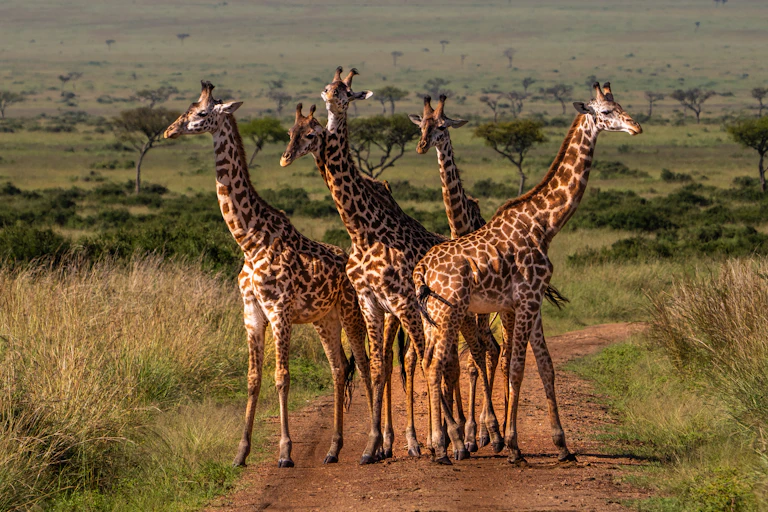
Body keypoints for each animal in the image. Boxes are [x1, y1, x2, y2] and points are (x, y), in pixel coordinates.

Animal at [164, 81, 373, 468]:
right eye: (187, 109)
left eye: (202, 113)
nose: (170, 131)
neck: (250, 239)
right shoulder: (251, 312)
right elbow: (252, 379)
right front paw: (240, 452)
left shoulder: (280, 311)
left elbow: (282, 377)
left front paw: (285, 452)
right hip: (325, 319)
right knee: (339, 369)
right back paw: (333, 449)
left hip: (353, 312)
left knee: (366, 365)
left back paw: (376, 444)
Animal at [280, 67, 502, 463]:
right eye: (328, 87)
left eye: (346, 91)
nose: (331, 100)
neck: (363, 229)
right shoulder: (373, 303)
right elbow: (380, 366)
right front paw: (375, 446)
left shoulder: (403, 303)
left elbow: (423, 363)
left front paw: (442, 440)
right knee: (442, 359)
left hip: (457, 314)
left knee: (471, 355)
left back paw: (480, 435)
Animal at [412, 83, 642, 464]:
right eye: (606, 112)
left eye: (621, 105)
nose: (636, 127)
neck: (545, 223)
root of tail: (422, 270)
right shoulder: (526, 299)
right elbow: (518, 368)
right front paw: (513, 446)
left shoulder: (530, 303)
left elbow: (546, 366)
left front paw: (563, 446)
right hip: (451, 312)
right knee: (437, 365)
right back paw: (445, 446)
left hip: (434, 315)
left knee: (429, 361)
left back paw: (439, 443)